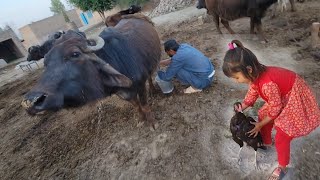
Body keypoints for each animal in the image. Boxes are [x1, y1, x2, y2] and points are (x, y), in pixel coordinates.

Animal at [22, 14, 161, 129]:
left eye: (75, 54)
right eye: (46, 62)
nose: (31, 101)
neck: (114, 58)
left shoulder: (140, 85)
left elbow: (144, 105)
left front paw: (152, 123)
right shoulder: (123, 94)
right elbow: (136, 105)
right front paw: (141, 120)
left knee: (151, 76)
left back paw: (153, 90)